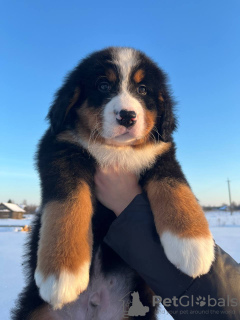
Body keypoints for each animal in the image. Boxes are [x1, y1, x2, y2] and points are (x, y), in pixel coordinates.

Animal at [12, 47, 215, 320]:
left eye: (143, 90)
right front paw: (62, 274)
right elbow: (67, 204)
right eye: (103, 85)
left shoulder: (161, 154)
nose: (127, 116)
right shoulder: (60, 150)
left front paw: (193, 244)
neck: (116, 150)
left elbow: (174, 184)